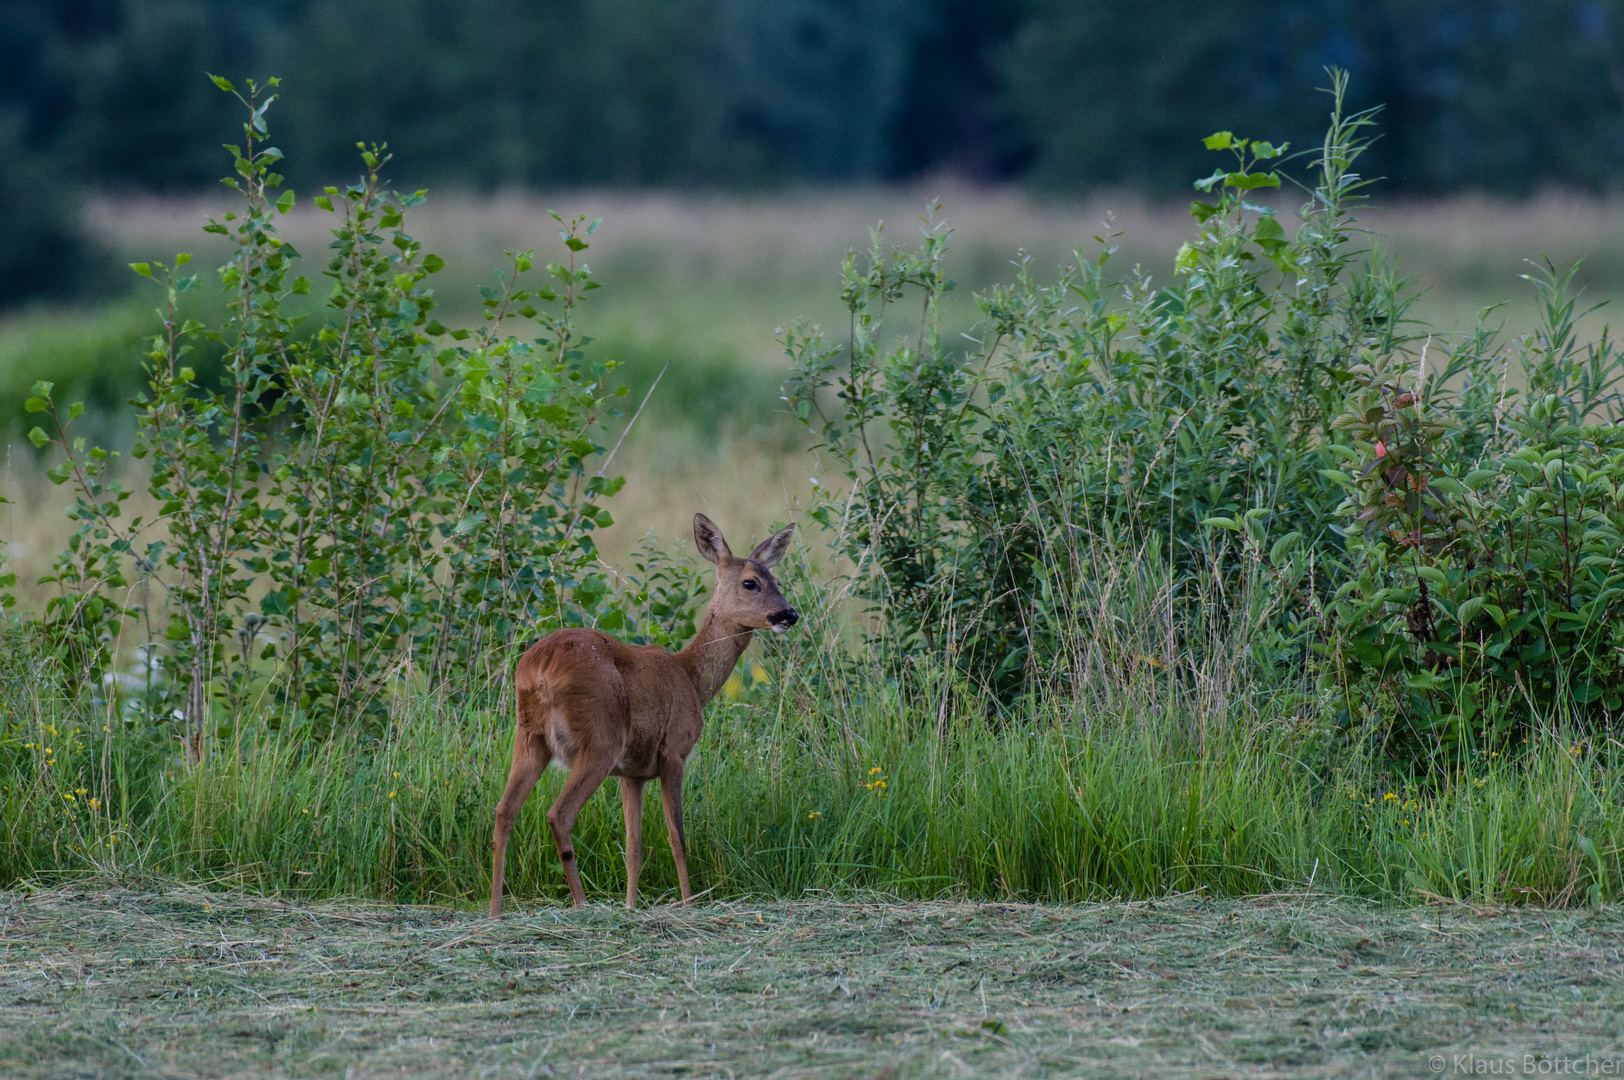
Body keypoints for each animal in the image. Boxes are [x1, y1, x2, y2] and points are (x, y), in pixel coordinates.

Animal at [490, 513, 802, 909]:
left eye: (776, 579)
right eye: (750, 582)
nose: (789, 614)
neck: (692, 679)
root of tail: (540, 667)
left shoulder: (632, 773)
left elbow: (634, 848)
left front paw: (630, 907)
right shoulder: (674, 751)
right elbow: (677, 838)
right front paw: (688, 904)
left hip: (529, 736)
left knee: (504, 810)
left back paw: (495, 912)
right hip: (600, 740)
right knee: (558, 814)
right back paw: (581, 904)